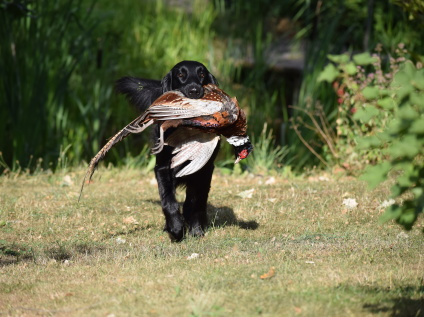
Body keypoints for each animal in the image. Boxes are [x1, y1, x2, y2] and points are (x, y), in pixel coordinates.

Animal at [117, 60, 220, 241]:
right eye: (180, 74)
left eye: (201, 74)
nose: (194, 91)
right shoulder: (163, 167)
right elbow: (168, 201)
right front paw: (176, 228)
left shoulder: (204, 169)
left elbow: (196, 202)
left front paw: (196, 230)